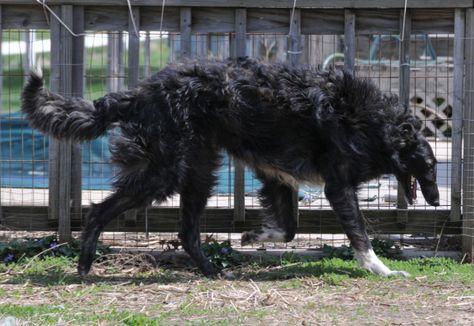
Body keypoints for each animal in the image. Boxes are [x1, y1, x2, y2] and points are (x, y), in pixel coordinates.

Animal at [22, 58, 440, 278]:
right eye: (432, 168)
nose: (436, 202)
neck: (377, 123)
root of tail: (139, 92)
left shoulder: (277, 178)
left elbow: (288, 230)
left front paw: (254, 236)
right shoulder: (337, 187)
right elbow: (360, 236)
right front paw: (381, 270)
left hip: (198, 174)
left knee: (187, 233)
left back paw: (212, 271)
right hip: (164, 173)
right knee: (97, 211)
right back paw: (84, 265)